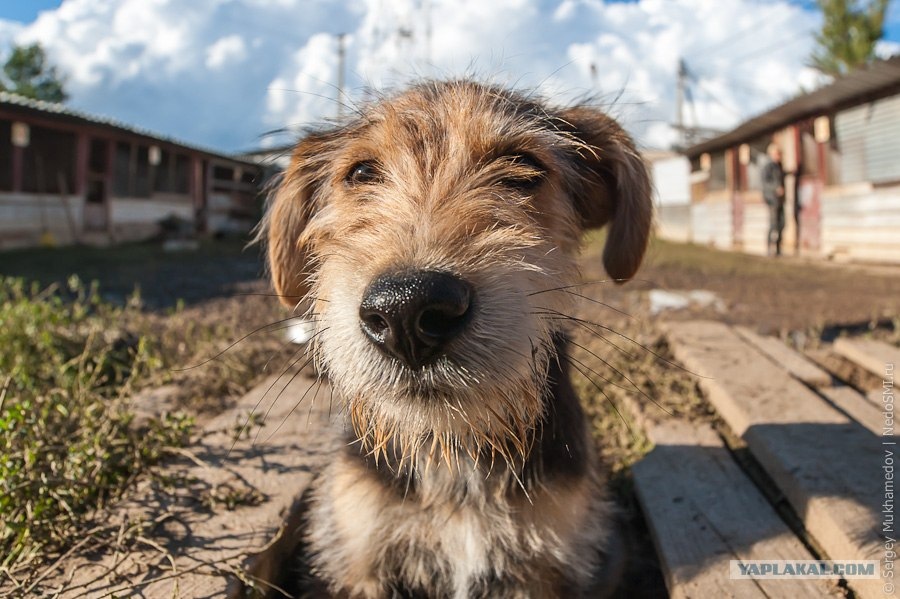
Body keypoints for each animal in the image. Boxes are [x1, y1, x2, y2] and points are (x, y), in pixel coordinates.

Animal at [236, 81, 652, 599]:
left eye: (524, 167)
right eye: (361, 172)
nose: (407, 310)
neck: (452, 454)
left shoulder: (540, 568)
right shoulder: (359, 557)